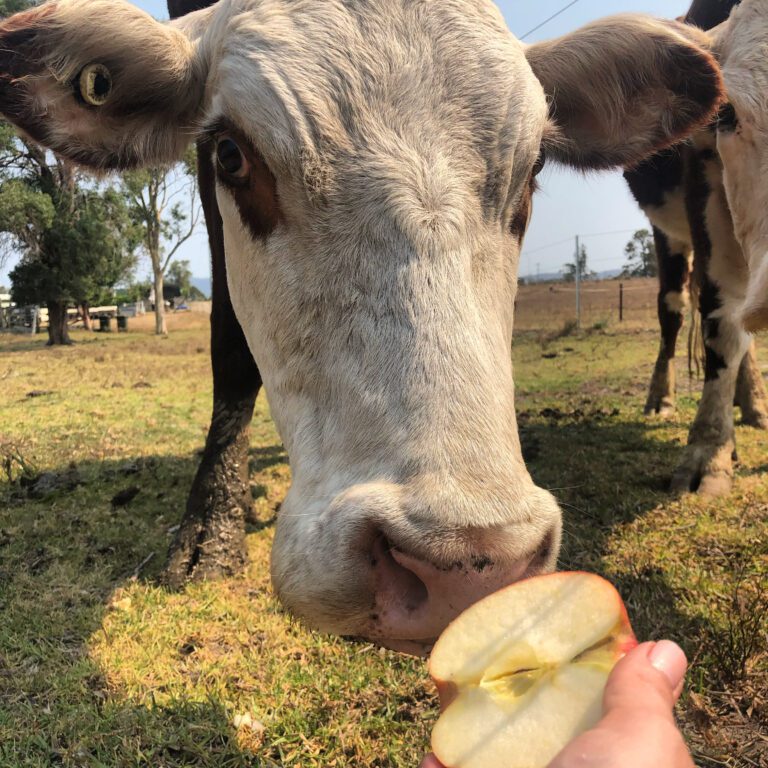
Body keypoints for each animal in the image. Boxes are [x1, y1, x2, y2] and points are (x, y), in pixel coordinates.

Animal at [624, 0, 768, 498]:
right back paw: (661, 397)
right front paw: (709, 452)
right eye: (729, 114)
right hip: (666, 234)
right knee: (673, 312)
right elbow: (721, 326)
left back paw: (754, 404)